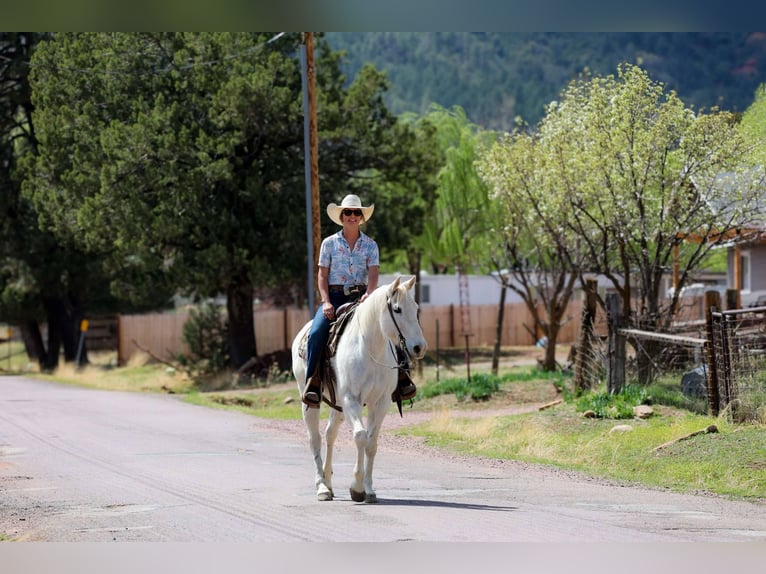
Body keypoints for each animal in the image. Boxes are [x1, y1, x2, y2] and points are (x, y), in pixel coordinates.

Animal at [291, 275, 427, 502]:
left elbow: (371, 443)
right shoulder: (351, 399)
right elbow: (360, 436)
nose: (419, 347)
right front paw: (356, 487)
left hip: (338, 405)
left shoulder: (380, 402)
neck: (371, 348)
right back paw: (322, 487)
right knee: (315, 439)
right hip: (311, 402)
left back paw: (329, 482)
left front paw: (369, 490)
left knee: (329, 434)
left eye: (416, 308)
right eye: (397, 309)